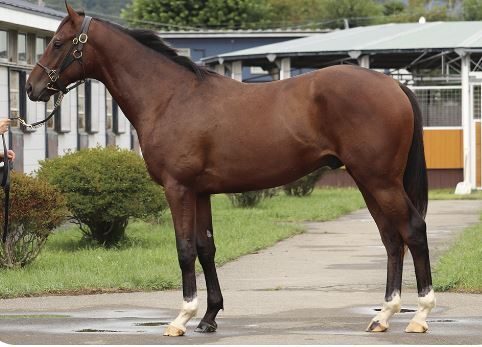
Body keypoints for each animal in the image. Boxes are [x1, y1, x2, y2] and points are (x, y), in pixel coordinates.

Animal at [26, 4, 436, 338]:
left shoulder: (177, 188)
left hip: (379, 181)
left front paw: (181, 318)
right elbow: (206, 248)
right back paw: (383, 315)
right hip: (369, 181)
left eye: (58, 43)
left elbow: (184, 249)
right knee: (391, 238)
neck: (171, 97)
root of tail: (393, 84)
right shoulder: (200, 192)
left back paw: (420, 315)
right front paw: (209, 317)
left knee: (413, 230)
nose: (32, 87)